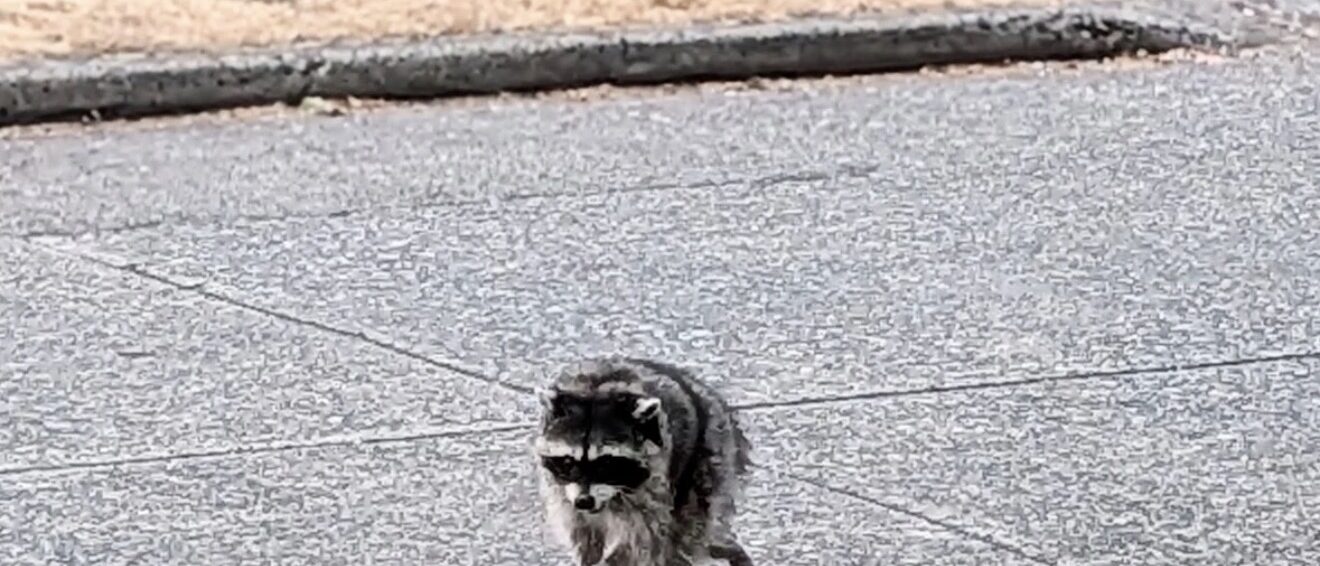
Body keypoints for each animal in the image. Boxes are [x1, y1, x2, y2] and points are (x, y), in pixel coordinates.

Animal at [533, 357, 754, 566]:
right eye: (568, 462)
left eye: (606, 464)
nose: (584, 501)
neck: (596, 390)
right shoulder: (562, 493)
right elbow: (583, 532)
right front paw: (589, 557)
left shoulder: (656, 485)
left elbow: (644, 540)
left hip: (707, 459)